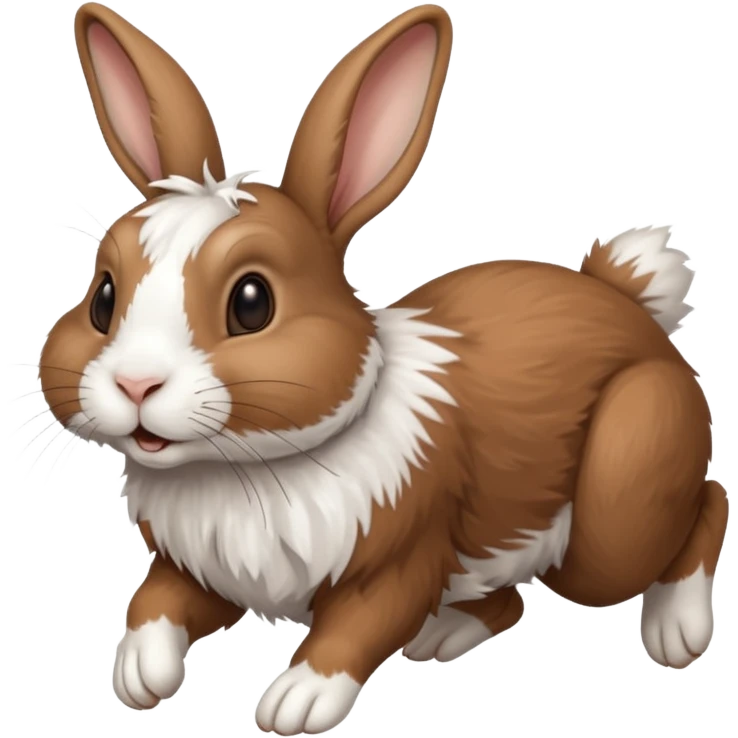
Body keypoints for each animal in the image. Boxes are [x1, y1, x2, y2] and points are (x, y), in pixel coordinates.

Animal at [44, 1, 726, 734]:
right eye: (103, 297)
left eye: (252, 303)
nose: (135, 383)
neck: (244, 468)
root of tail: (629, 305)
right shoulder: (198, 573)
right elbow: (153, 602)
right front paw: (139, 677)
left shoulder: (400, 564)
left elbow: (356, 629)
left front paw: (295, 704)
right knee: (509, 600)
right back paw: (443, 633)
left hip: (621, 495)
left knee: (705, 507)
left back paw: (677, 631)